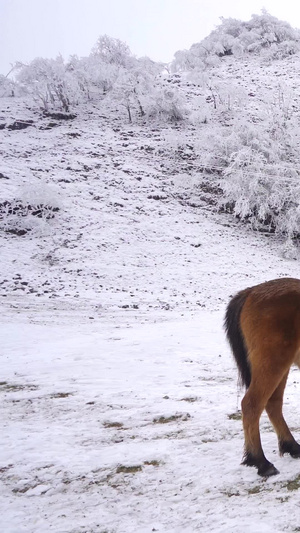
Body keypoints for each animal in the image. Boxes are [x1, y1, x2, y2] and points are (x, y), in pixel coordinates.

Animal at [225, 276, 300, 476]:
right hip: (273, 363)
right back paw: (261, 461)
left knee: (273, 403)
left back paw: (291, 446)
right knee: (252, 405)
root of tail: (250, 292)